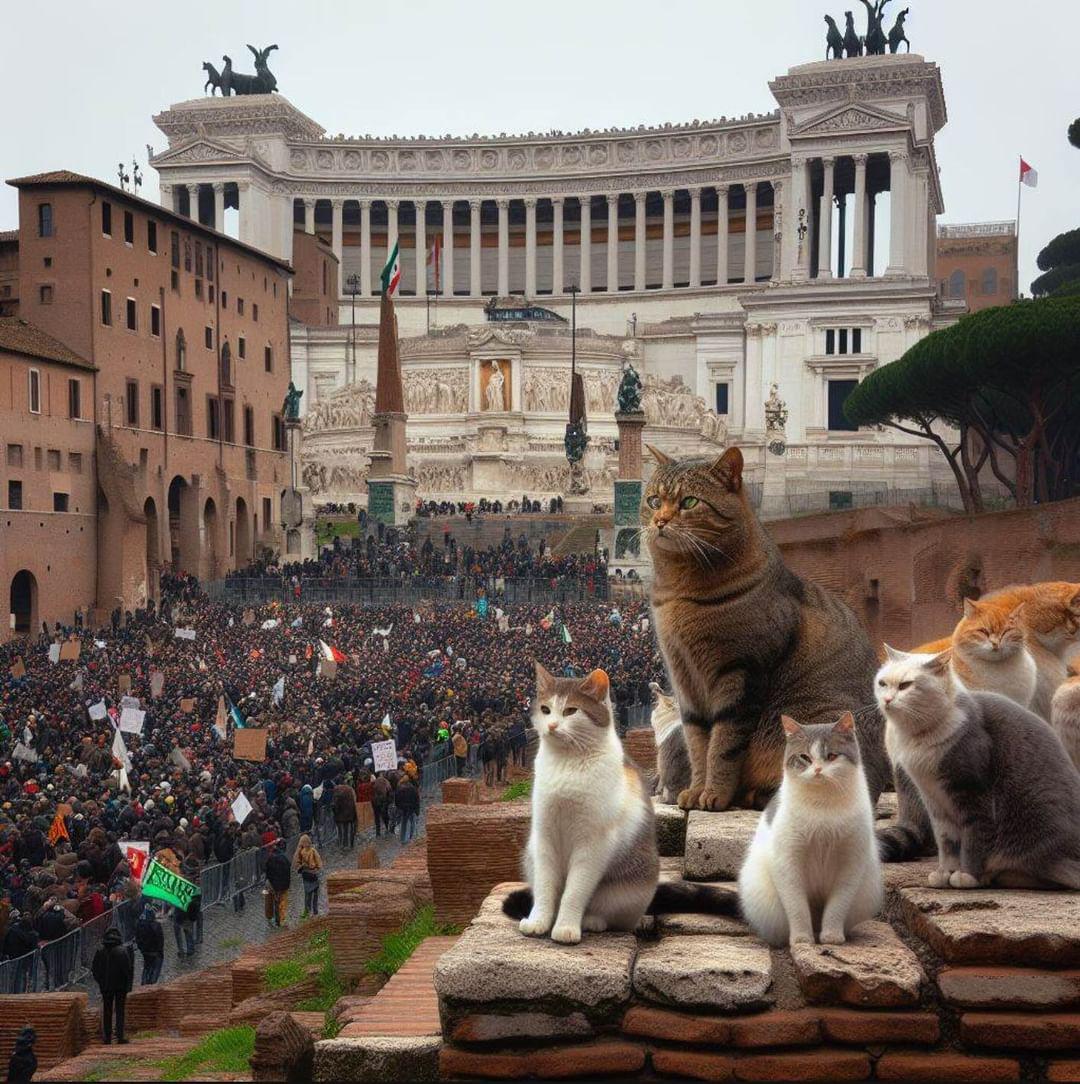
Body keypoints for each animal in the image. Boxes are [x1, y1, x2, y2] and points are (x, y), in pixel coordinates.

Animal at [503, 659, 737, 940]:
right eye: (545, 709)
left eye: (571, 711)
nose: (551, 726)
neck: (567, 764)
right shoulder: (544, 834)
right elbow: (546, 887)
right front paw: (538, 921)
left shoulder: (593, 842)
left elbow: (575, 891)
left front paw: (566, 928)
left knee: (614, 915)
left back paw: (591, 921)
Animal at [646, 444, 932, 858]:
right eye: (653, 500)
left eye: (689, 502)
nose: (660, 521)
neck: (680, 592)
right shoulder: (684, 677)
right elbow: (699, 742)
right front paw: (695, 791)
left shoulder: (741, 673)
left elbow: (723, 745)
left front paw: (713, 795)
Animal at [737, 715, 880, 945]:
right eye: (804, 757)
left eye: (831, 756)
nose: (818, 770)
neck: (822, 805)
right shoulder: (788, 862)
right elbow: (797, 908)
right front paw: (802, 939)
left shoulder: (851, 862)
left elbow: (837, 906)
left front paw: (831, 936)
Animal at [880, 641, 1080, 888]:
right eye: (882, 683)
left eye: (906, 685)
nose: (887, 700)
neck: (920, 739)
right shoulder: (934, 801)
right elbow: (946, 842)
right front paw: (944, 873)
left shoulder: (974, 792)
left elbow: (974, 837)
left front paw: (967, 875)